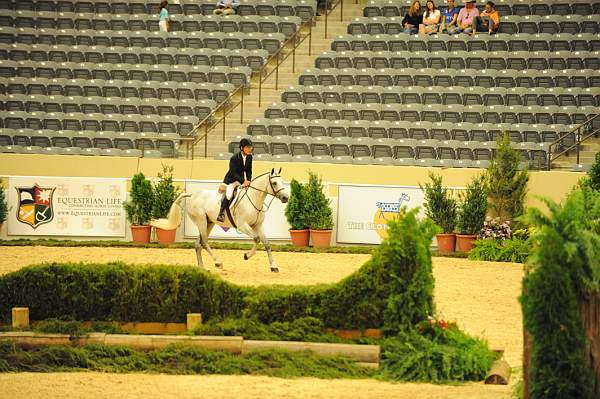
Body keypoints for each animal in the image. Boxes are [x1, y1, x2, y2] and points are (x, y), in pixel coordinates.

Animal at [151, 167, 290, 274]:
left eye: (282, 181)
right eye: (275, 183)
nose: (285, 198)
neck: (254, 199)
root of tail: (192, 195)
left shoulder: (258, 225)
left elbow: (267, 244)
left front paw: (274, 266)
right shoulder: (243, 226)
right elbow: (256, 239)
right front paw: (246, 256)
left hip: (209, 223)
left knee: (198, 244)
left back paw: (203, 268)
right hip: (201, 221)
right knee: (204, 242)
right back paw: (218, 262)